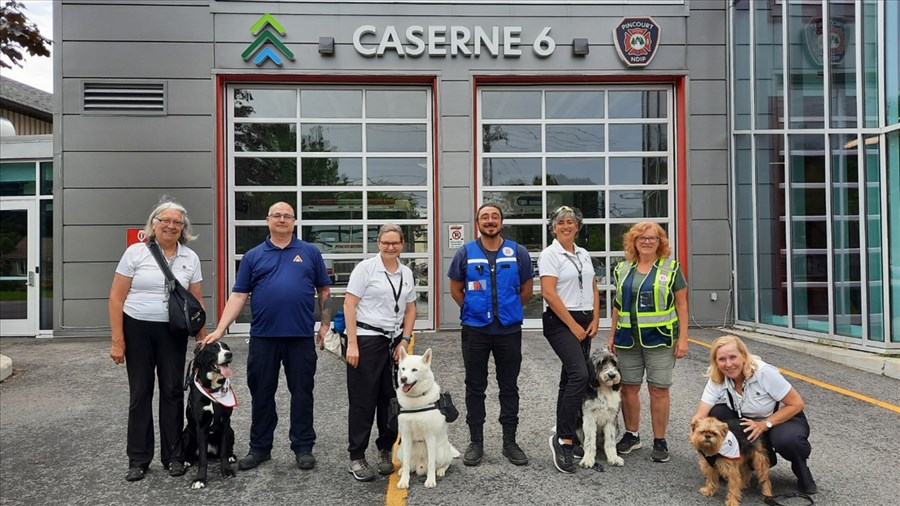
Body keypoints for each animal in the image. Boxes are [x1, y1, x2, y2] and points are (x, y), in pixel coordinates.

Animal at [178, 342, 236, 488]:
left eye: (227, 348)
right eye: (213, 349)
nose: (229, 354)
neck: (213, 389)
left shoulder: (225, 423)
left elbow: (223, 452)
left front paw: (226, 470)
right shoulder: (201, 426)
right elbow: (203, 459)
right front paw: (199, 479)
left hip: (231, 431)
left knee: (225, 450)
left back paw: (231, 456)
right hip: (186, 435)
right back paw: (187, 460)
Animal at [398, 348, 460, 490]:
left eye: (414, 370)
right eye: (403, 369)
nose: (403, 379)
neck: (416, 400)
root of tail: (420, 467)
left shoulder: (430, 437)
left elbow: (431, 463)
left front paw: (431, 480)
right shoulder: (406, 436)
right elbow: (406, 463)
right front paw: (404, 481)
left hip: (441, 452)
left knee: (445, 463)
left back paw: (441, 470)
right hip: (400, 450)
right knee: (408, 465)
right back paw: (403, 470)